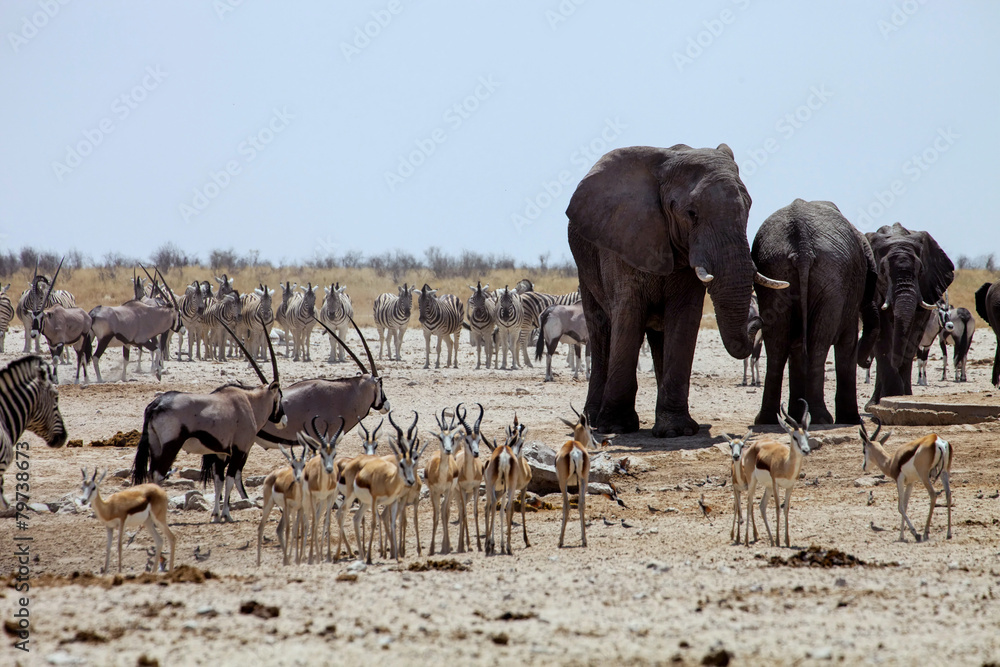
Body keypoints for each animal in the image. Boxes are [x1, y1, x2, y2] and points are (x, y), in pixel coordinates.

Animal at [566, 144, 788, 437]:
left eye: (749, 208)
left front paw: (676, 431)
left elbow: (684, 319)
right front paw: (616, 426)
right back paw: (592, 420)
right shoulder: (621, 240)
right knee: (601, 328)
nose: (756, 321)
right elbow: (628, 315)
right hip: (584, 262)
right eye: (691, 214)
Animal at [751, 200, 879, 425]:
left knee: (777, 343)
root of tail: (802, 247)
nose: (867, 361)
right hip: (832, 280)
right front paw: (852, 420)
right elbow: (847, 343)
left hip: (774, 268)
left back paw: (769, 419)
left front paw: (796, 414)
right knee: (819, 342)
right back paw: (821, 418)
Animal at [866, 223, 954, 406]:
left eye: (920, 271)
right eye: (882, 271)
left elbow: (914, 332)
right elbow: (882, 333)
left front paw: (900, 395)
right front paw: (892, 394)